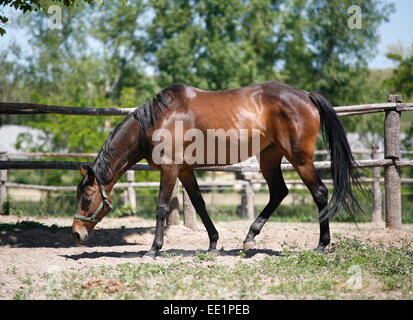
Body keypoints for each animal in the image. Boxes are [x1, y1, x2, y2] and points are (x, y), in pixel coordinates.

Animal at [72, 81, 362, 258]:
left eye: (87, 198)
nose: (76, 233)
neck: (157, 120)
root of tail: (306, 95)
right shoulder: (185, 171)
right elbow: (200, 204)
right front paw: (213, 243)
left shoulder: (170, 168)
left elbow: (162, 208)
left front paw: (153, 249)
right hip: (269, 157)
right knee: (279, 192)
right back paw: (249, 238)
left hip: (299, 159)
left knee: (320, 193)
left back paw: (322, 245)